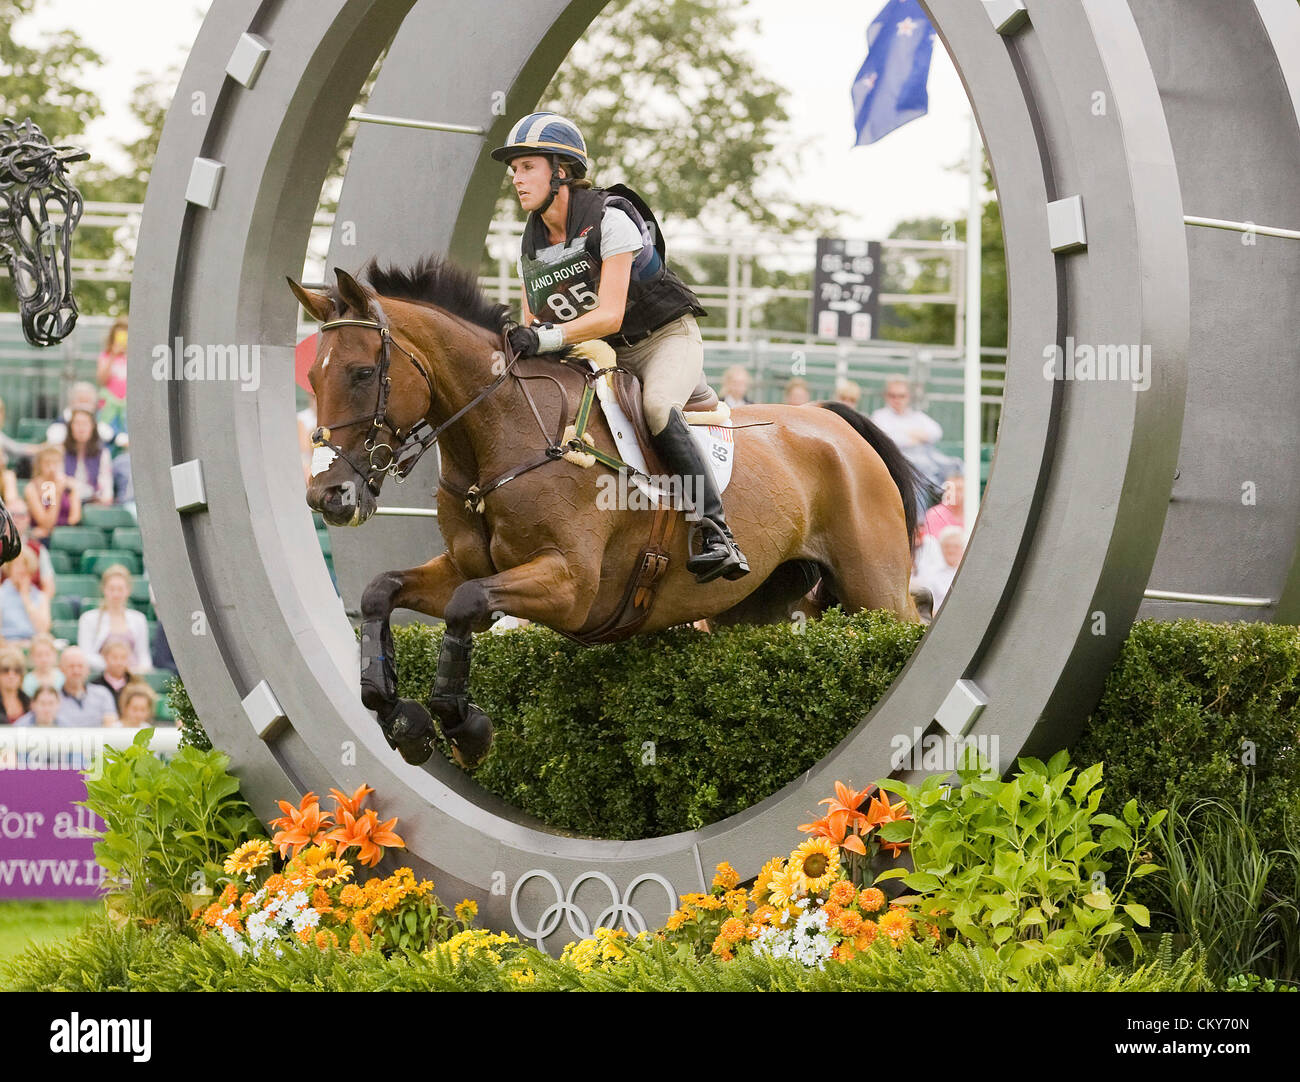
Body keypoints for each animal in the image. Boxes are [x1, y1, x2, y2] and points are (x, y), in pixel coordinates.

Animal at [292, 261, 925, 769]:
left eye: (362, 373)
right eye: (312, 377)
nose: (327, 496)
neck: (503, 436)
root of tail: (832, 419)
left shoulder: (572, 586)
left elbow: (465, 604)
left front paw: (463, 727)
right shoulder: (469, 565)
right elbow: (381, 591)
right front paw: (402, 718)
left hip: (875, 591)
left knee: (905, 624)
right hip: (758, 608)